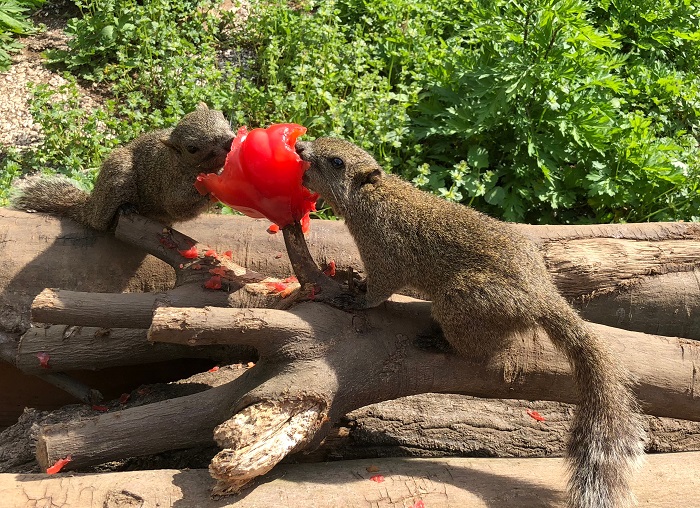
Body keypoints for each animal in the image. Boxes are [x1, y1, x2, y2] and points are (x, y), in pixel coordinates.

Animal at [10, 102, 235, 229]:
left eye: (222, 114)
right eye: (192, 148)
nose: (229, 142)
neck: (178, 161)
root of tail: (90, 207)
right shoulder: (169, 183)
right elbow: (178, 205)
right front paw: (219, 176)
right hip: (118, 176)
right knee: (100, 223)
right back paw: (124, 209)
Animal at [296, 137, 644, 506]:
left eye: (337, 161)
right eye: (318, 141)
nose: (300, 146)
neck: (374, 200)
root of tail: (541, 294)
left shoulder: (387, 255)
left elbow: (378, 292)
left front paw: (356, 298)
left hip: (461, 301)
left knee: (482, 348)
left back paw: (440, 342)